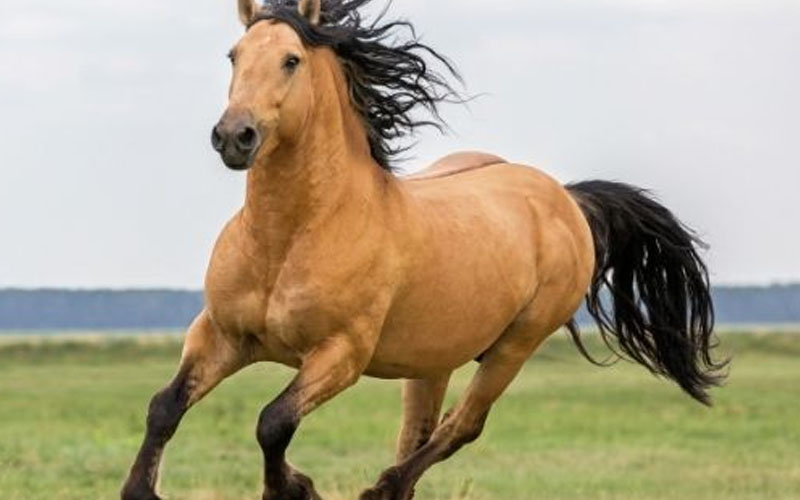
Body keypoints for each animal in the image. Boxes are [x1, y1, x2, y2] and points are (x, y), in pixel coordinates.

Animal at [121, 1, 726, 499]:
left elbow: (273, 422)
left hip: (515, 345)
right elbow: (163, 407)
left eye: (291, 60)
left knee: (461, 427)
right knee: (419, 432)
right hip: (432, 361)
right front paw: (142, 489)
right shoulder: (221, 335)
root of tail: (565, 197)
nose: (234, 136)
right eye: (234, 56)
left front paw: (297, 489)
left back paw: (381, 489)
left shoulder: (340, 354)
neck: (289, 237)